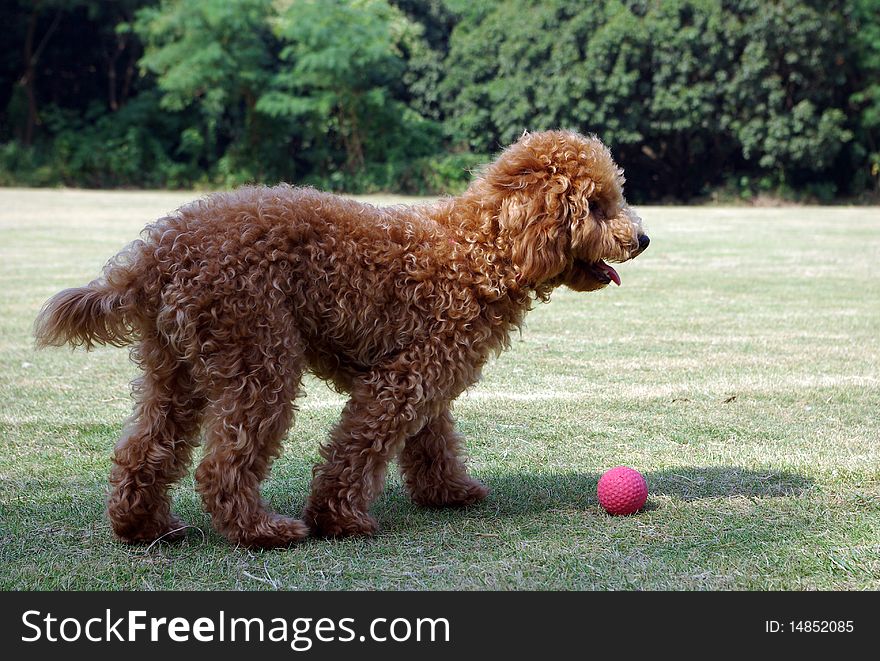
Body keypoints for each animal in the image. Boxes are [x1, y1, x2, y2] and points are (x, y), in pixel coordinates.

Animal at [32, 129, 648, 548]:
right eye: (596, 206)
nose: (641, 239)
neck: (482, 250)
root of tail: (154, 254)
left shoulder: (428, 374)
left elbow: (434, 438)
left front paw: (448, 492)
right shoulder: (401, 381)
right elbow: (359, 449)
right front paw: (339, 519)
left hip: (175, 367)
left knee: (144, 449)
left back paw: (145, 526)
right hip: (260, 355)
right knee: (222, 462)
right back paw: (262, 531)